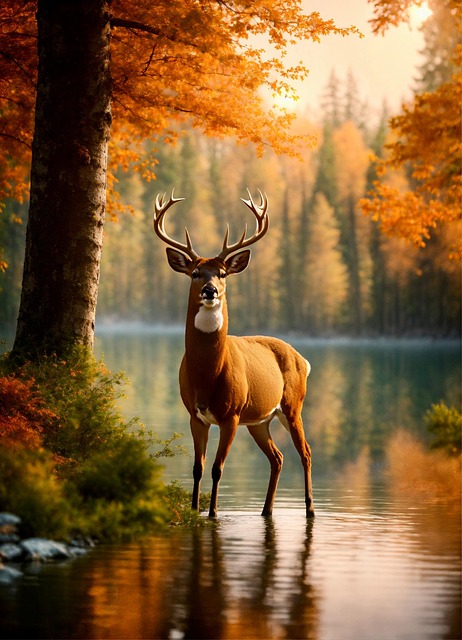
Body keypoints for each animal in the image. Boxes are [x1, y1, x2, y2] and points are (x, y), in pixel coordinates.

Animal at [153, 189, 314, 518]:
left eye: (223, 273)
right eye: (195, 273)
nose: (211, 290)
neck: (207, 375)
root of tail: (302, 359)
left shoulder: (231, 415)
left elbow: (217, 469)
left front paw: (214, 513)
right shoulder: (195, 415)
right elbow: (198, 469)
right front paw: (195, 512)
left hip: (292, 405)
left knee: (305, 452)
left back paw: (310, 510)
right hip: (260, 420)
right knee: (278, 457)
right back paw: (266, 510)